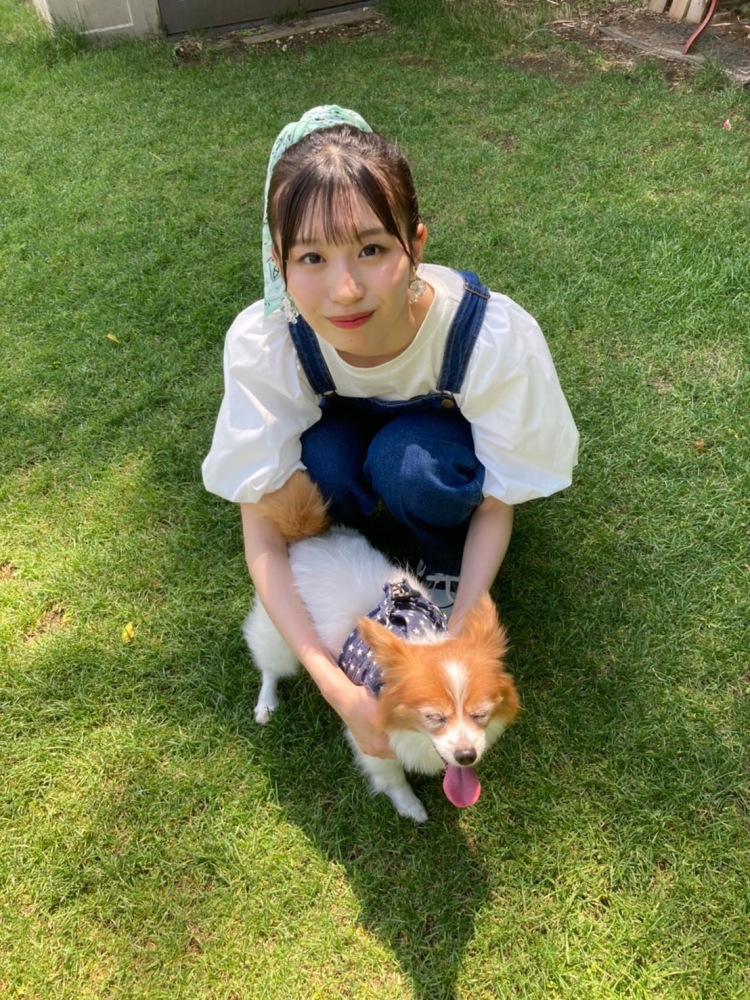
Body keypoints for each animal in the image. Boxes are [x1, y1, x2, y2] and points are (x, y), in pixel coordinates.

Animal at [244, 472, 519, 823]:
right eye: (434, 718)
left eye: (480, 714)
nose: (466, 755)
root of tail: (308, 537)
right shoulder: (369, 738)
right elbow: (393, 778)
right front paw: (410, 806)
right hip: (280, 632)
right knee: (270, 667)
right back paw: (266, 705)